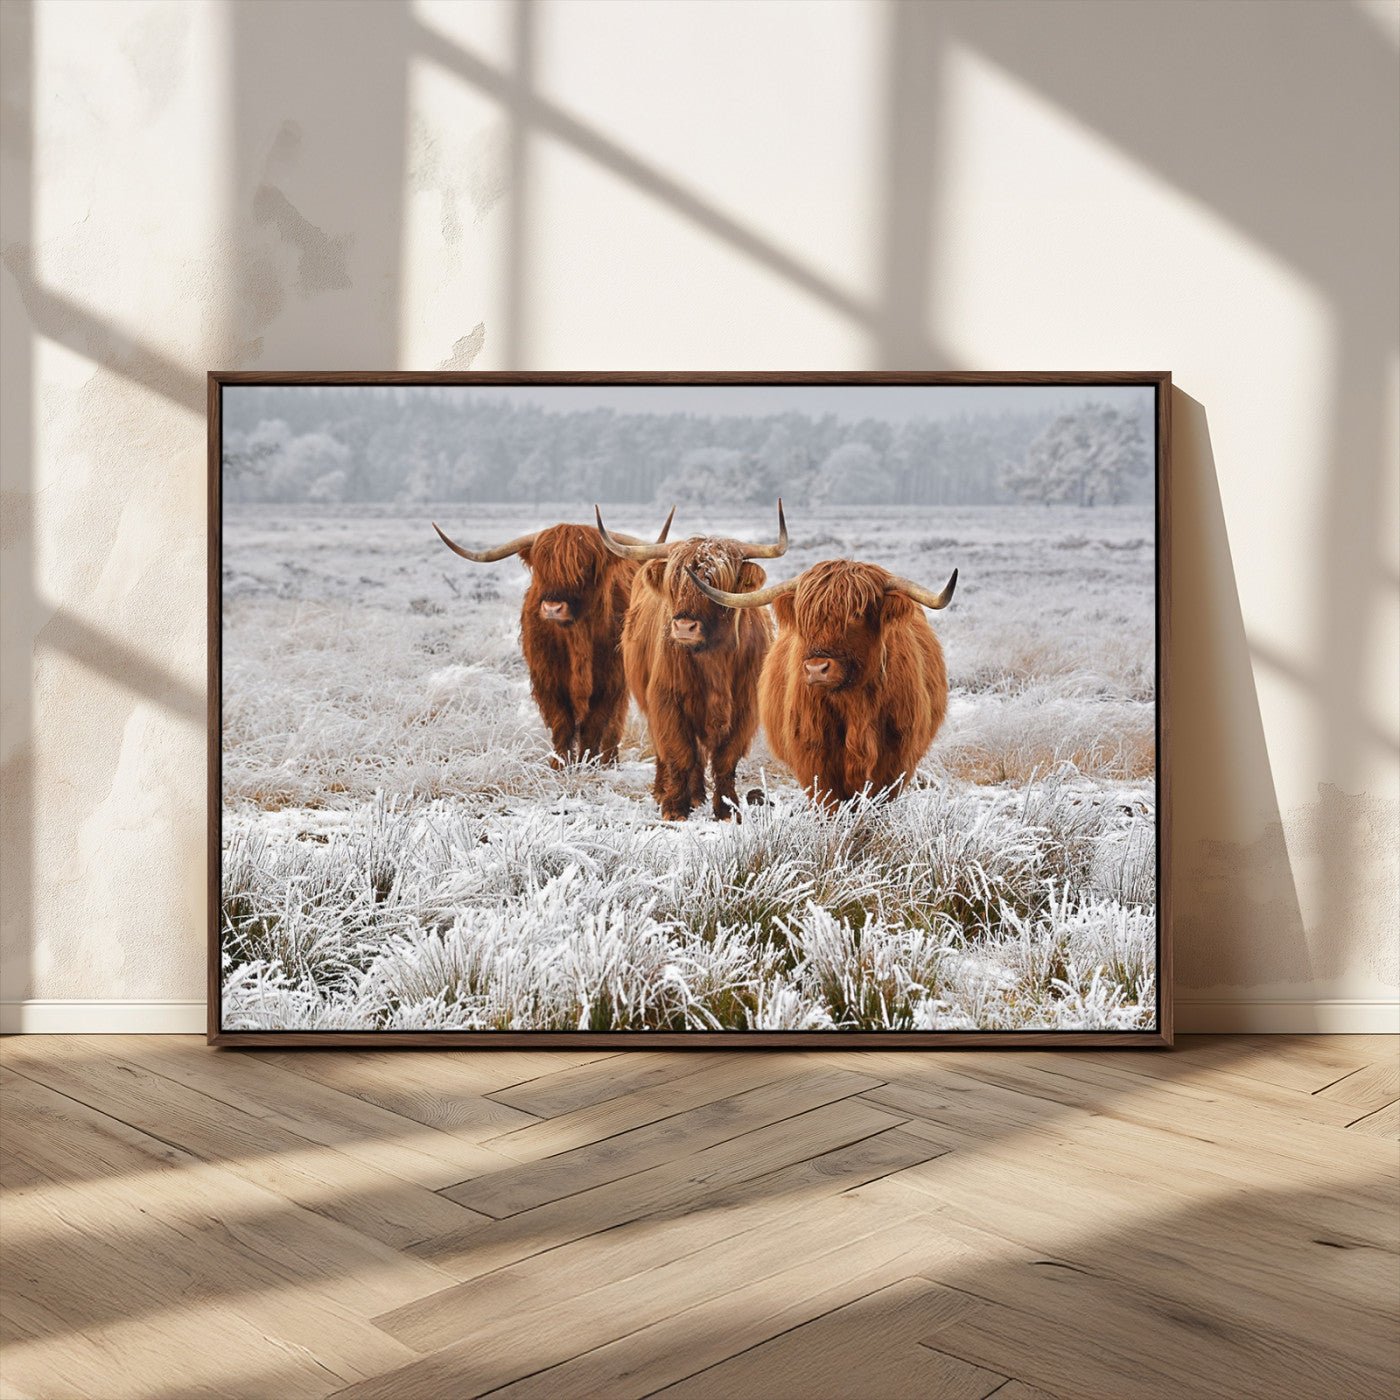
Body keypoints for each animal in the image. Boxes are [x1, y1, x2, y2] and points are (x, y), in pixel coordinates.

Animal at [433, 509, 674, 767]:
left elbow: (594, 726)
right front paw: (560, 766)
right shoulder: (548, 680)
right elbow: (562, 724)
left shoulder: (610, 681)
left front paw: (588, 764)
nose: (552, 608)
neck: (577, 638)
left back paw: (610, 761)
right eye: (541, 568)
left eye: (584, 567)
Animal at [595, 502, 789, 822]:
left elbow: (725, 760)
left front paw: (728, 808)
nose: (684, 626)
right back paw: (666, 792)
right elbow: (679, 753)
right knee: (671, 752)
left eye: (715, 582)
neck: (714, 660)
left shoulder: (745, 708)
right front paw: (674, 808)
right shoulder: (667, 701)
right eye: (674, 582)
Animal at [688, 558, 957, 808]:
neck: (855, 705)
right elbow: (830, 805)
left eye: (856, 614)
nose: (816, 669)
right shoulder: (814, 759)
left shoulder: (896, 759)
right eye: (805, 616)